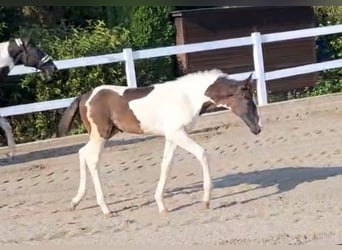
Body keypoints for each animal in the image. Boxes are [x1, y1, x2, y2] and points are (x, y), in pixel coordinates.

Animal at [58, 69, 262, 217]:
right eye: (246, 98)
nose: (257, 128)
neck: (188, 97)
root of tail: (85, 96)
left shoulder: (172, 136)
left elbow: (166, 165)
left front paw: (162, 206)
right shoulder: (177, 133)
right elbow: (202, 153)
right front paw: (206, 200)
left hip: (101, 135)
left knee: (82, 153)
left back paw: (76, 201)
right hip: (101, 134)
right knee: (92, 160)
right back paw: (106, 209)